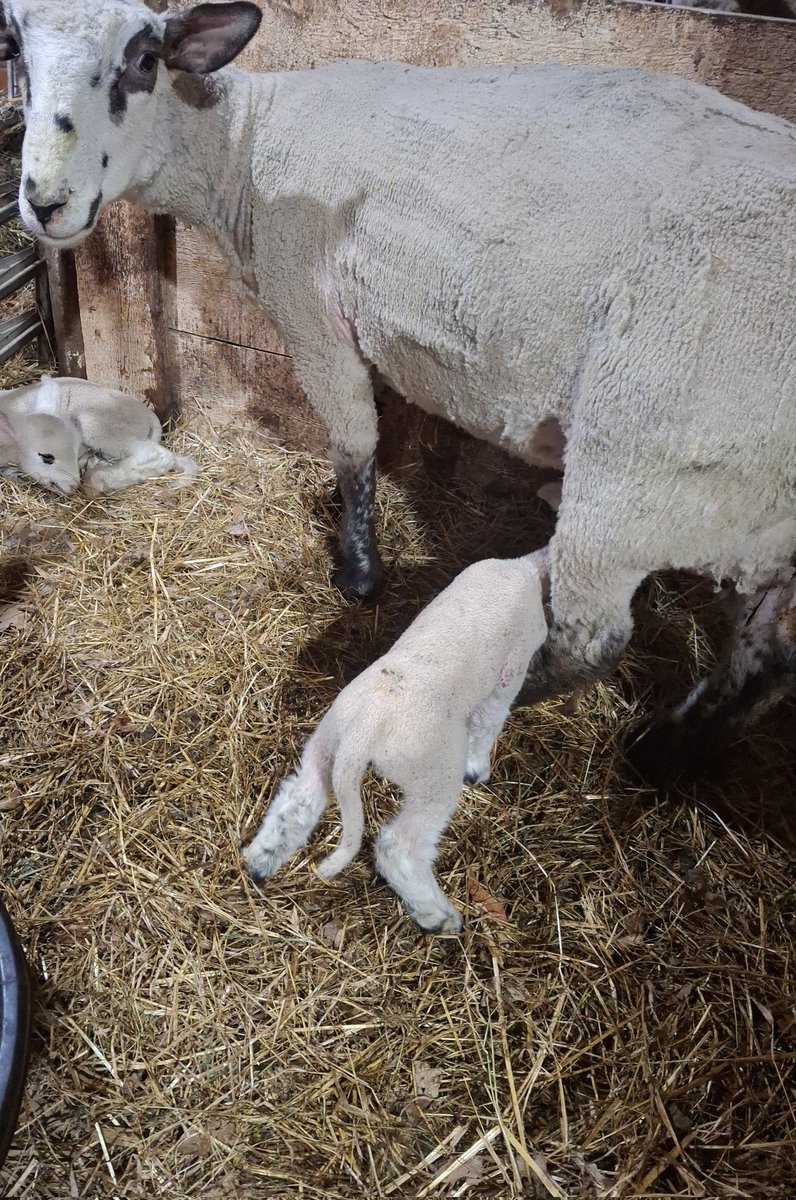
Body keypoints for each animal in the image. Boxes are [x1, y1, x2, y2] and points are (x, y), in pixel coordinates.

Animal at [0, 376, 196, 494]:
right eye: (47, 457)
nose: (73, 485)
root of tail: (151, 418)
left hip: (98, 426)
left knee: (155, 454)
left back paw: (99, 478)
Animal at [243, 550, 548, 933]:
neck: (529, 567)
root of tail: (364, 732)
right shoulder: (510, 672)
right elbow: (488, 721)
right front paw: (478, 770)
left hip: (327, 740)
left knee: (300, 798)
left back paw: (260, 861)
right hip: (432, 774)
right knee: (398, 846)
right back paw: (438, 917)